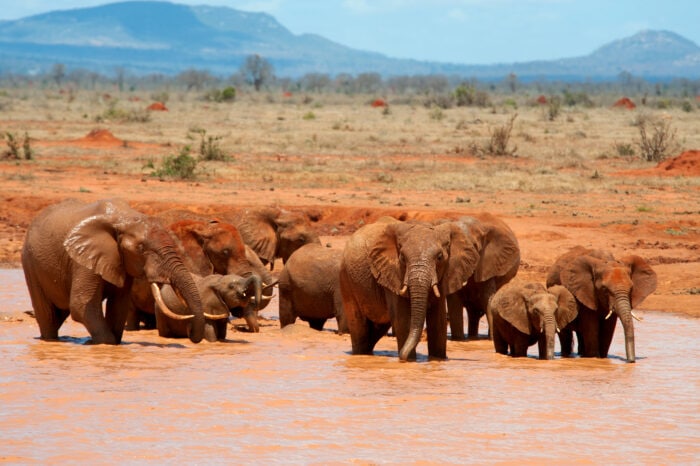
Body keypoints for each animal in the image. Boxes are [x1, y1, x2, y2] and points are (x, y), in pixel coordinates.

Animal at [19, 198, 205, 344]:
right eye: (141, 248)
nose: (191, 336)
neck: (125, 218)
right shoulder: (83, 259)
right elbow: (81, 305)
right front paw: (100, 344)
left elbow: (118, 306)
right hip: (30, 263)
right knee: (48, 316)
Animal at [340, 217, 482, 362]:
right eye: (402, 258)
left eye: (439, 257)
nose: (401, 357)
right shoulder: (392, 273)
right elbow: (402, 320)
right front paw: (410, 361)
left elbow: (438, 322)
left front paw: (438, 360)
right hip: (346, 280)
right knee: (359, 326)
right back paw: (360, 354)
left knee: (378, 327)